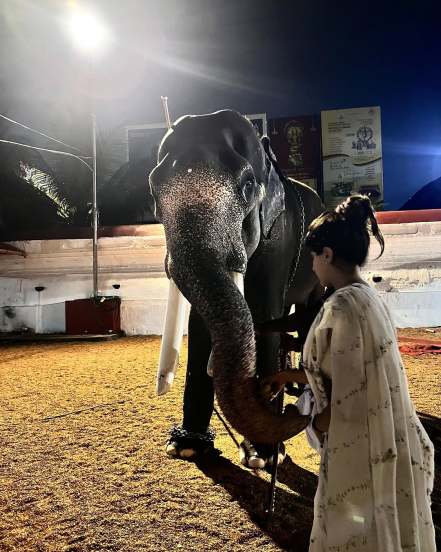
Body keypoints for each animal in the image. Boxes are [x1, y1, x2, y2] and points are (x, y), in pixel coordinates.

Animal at [151, 109, 324, 466]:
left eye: (247, 186)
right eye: (153, 194)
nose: (295, 416)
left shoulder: (280, 237)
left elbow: (265, 314)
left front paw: (264, 456)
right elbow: (200, 324)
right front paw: (186, 447)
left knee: (307, 313)